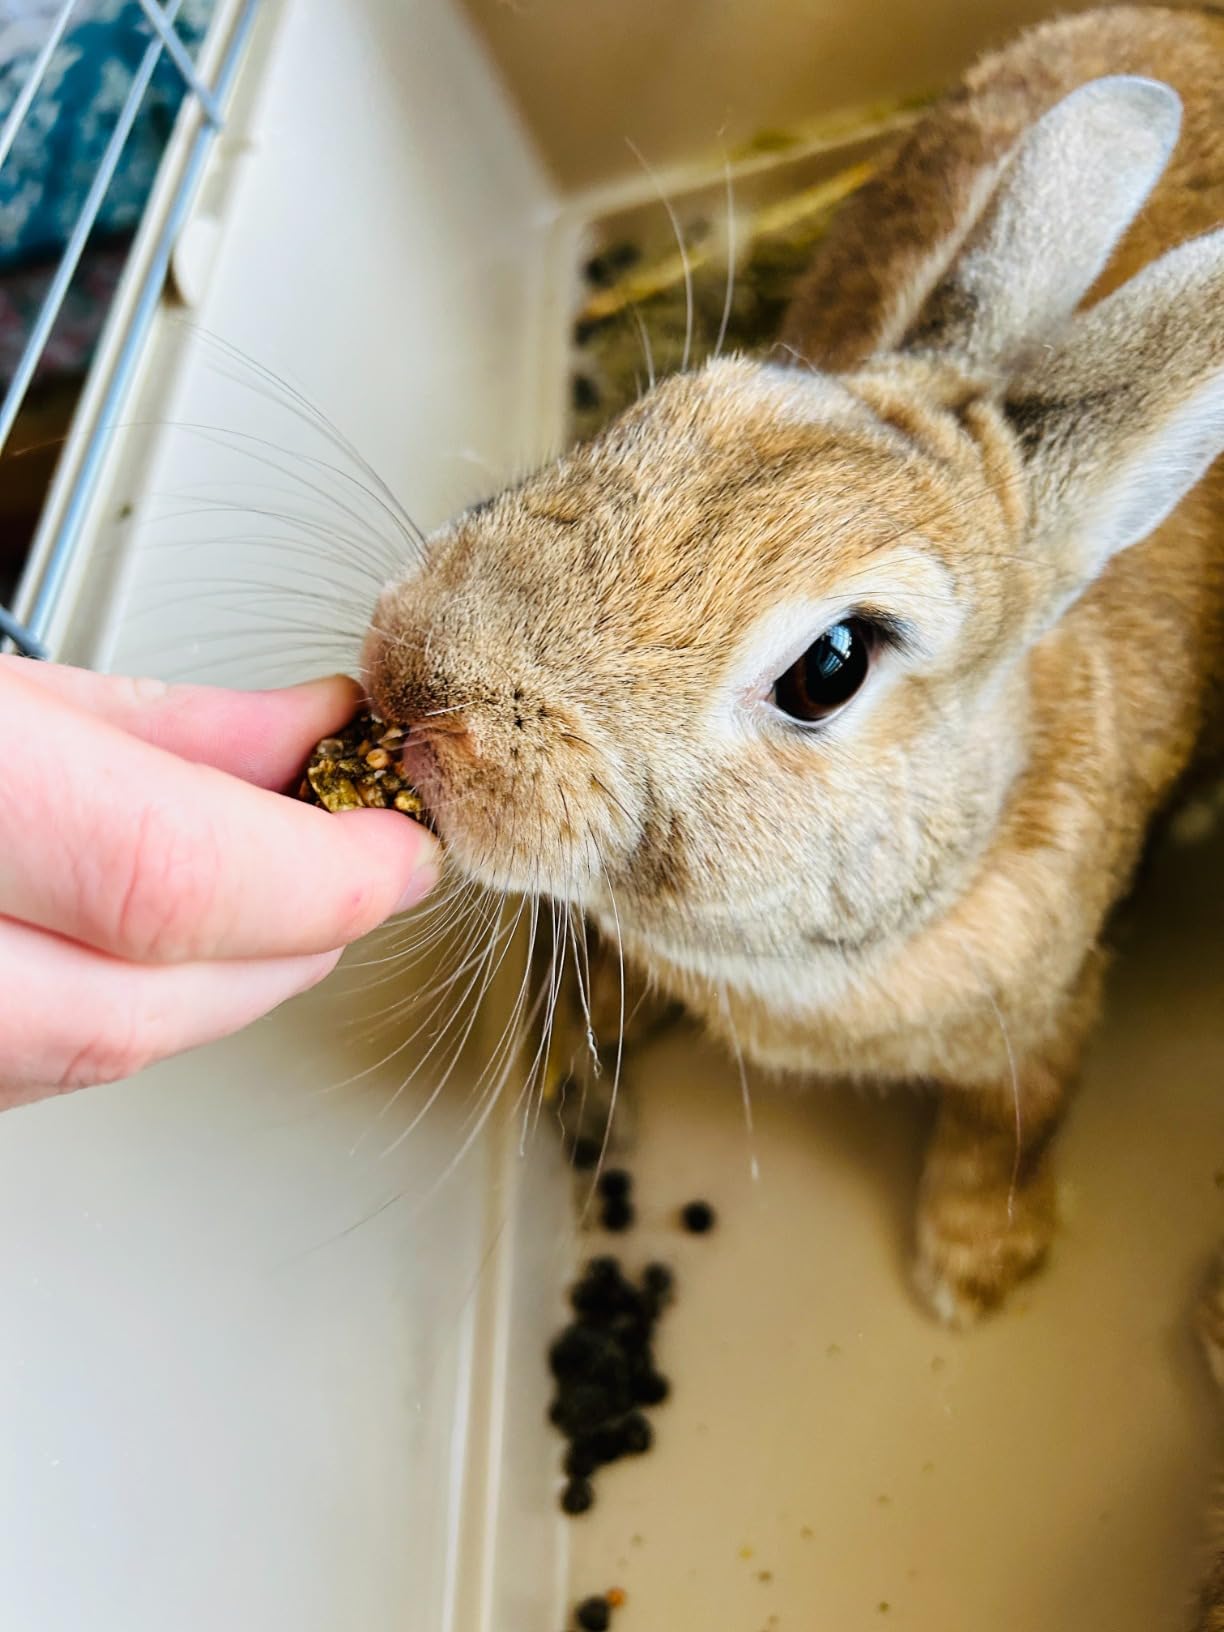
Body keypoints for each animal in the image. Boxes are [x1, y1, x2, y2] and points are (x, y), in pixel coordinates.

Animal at [363, 4, 1224, 1329]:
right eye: (667, 408)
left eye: (832, 666)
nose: (414, 681)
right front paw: (580, 1048)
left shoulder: (1048, 1012)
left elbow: (1010, 1120)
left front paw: (972, 1275)